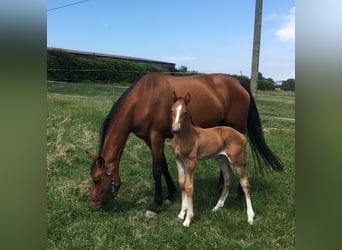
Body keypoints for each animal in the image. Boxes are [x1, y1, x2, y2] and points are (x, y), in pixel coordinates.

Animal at [171, 92, 254, 227]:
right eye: (171, 110)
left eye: (185, 112)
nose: (175, 130)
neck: (185, 136)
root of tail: (241, 135)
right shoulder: (179, 160)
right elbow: (182, 183)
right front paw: (182, 213)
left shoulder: (191, 161)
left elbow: (189, 187)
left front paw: (188, 219)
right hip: (222, 158)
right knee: (228, 177)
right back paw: (217, 207)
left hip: (237, 160)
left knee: (245, 182)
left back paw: (250, 216)